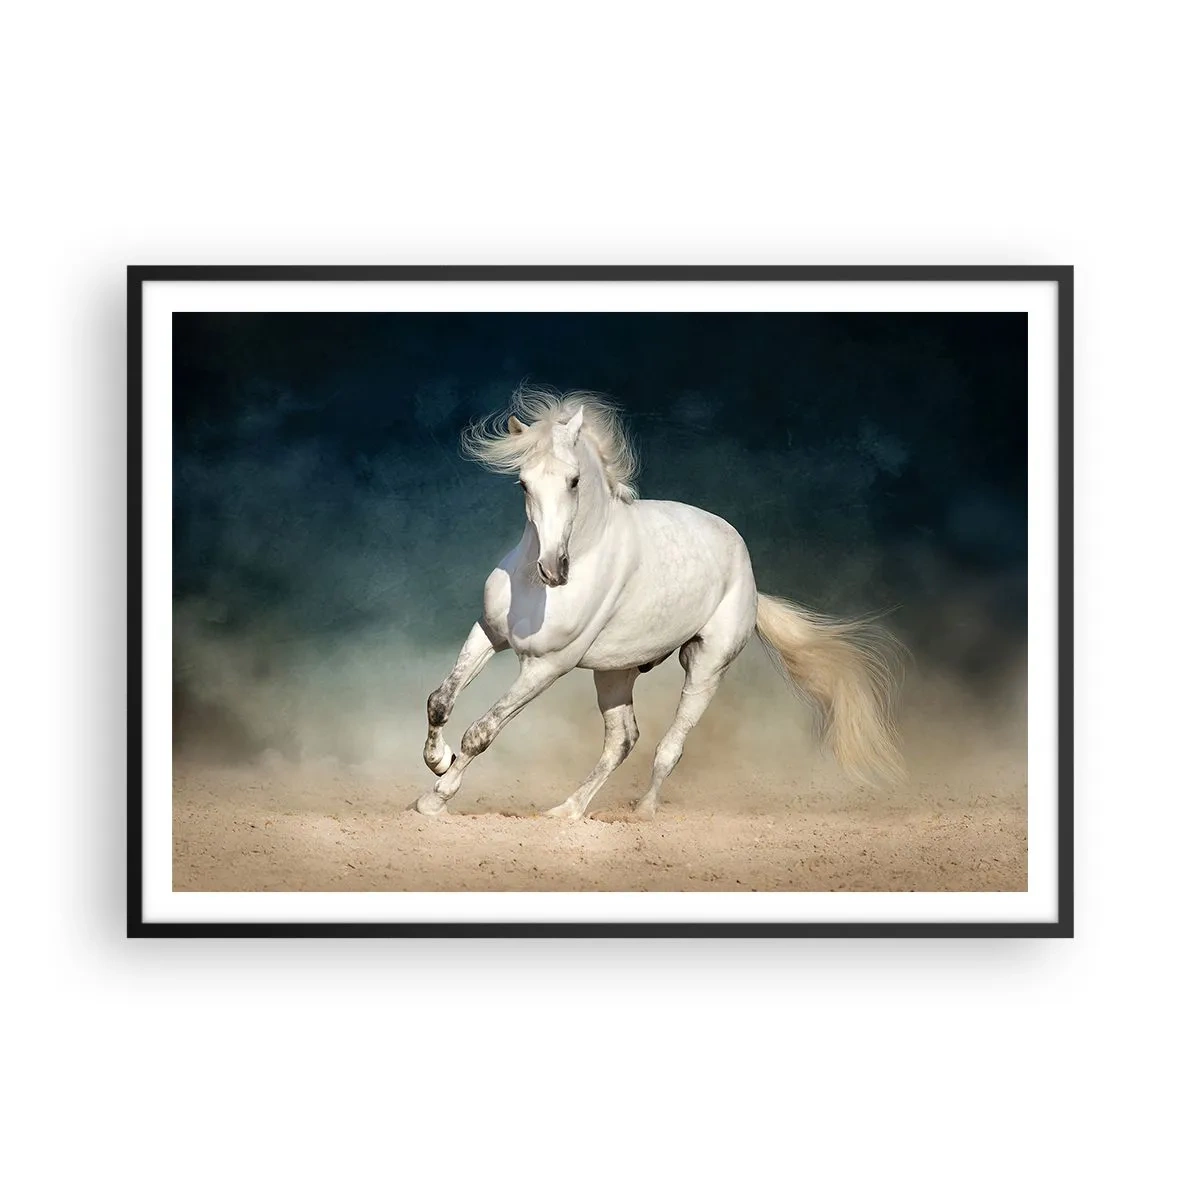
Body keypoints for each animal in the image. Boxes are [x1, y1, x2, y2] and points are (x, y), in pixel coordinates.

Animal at [416, 389, 903, 820]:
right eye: (523, 483)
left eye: (574, 481)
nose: (553, 569)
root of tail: (750, 579)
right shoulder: (489, 634)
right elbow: (440, 700)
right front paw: (438, 761)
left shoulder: (546, 666)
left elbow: (482, 732)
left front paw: (434, 799)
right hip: (614, 672)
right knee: (622, 740)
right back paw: (566, 811)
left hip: (705, 666)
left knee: (669, 746)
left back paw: (643, 812)